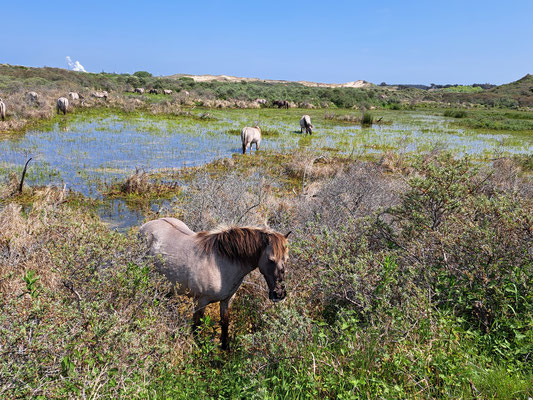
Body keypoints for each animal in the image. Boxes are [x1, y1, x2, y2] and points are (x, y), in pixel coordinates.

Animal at [137, 216, 286, 350]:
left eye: (286, 259)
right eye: (271, 259)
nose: (279, 294)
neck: (221, 264)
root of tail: (145, 226)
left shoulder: (227, 300)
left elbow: (225, 322)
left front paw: (225, 347)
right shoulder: (201, 301)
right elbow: (197, 325)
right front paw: (198, 347)